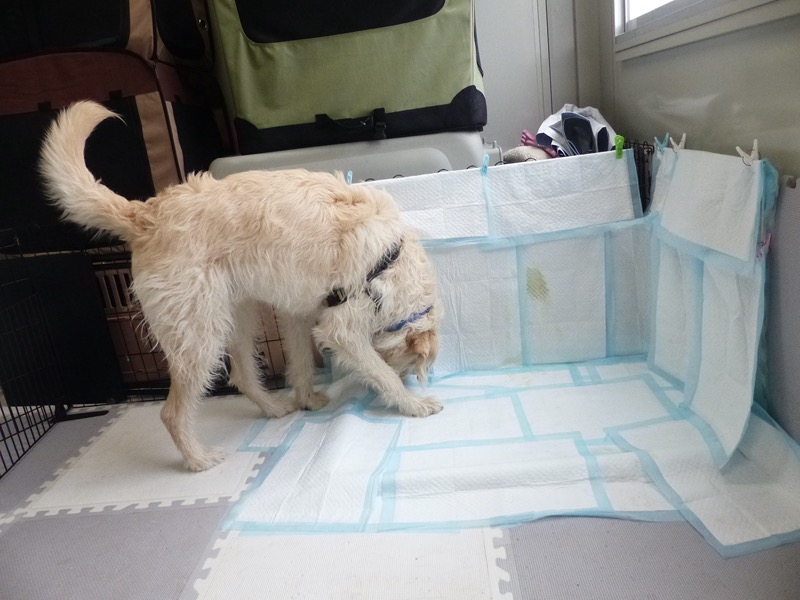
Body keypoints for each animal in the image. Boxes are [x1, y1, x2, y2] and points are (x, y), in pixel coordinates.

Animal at [40, 100, 443, 471]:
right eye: (410, 366)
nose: (412, 381)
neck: (390, 261)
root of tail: (146, 214)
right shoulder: (341, 327)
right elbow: (379, 372)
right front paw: (414, 404)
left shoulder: (296, 313)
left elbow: (300, 362)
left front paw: (308, 400)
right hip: (198, 334)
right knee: (172, 412)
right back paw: (199, 460)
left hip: (237, 315)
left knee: (243, 375)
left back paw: (273, 408)